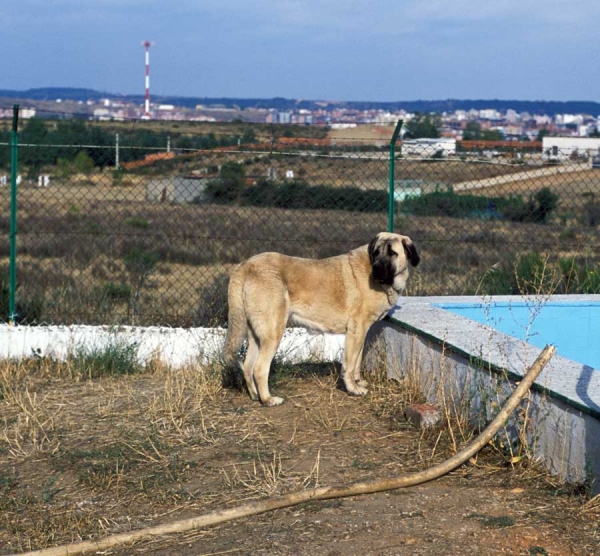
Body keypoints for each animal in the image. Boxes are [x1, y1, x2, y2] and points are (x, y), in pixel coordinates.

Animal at [220, 232, 418, 406]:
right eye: (376, 252)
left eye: (392, 253)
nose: (376, 268)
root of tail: (244, 265)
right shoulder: (357, 330)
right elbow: (349, 365)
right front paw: (353, 389)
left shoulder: (361, 333)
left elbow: (357, 361)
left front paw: (358, 381)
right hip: (273, 333)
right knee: (260, 368)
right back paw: (268, 400)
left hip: (256, 334)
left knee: (247, 366)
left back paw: (255, 396)